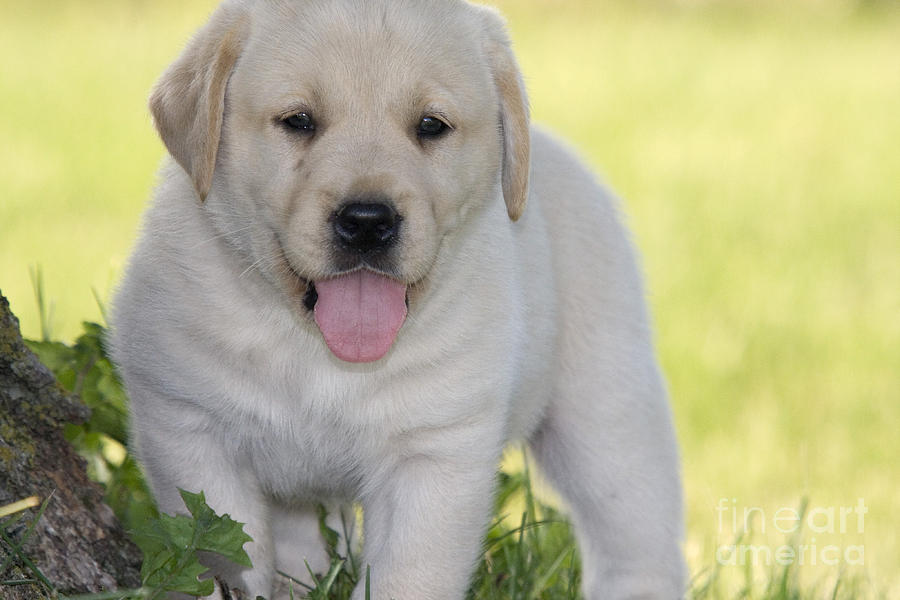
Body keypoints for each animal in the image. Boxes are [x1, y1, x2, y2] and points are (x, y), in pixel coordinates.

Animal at [114, 1, 688, 600]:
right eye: (298, 121)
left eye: (431, 126)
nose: (368, 221)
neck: (318, 352)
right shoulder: (187, 428)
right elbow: (220, 556)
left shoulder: (434, 454)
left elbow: (408, 576)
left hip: (605, 404)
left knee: (634, 525)